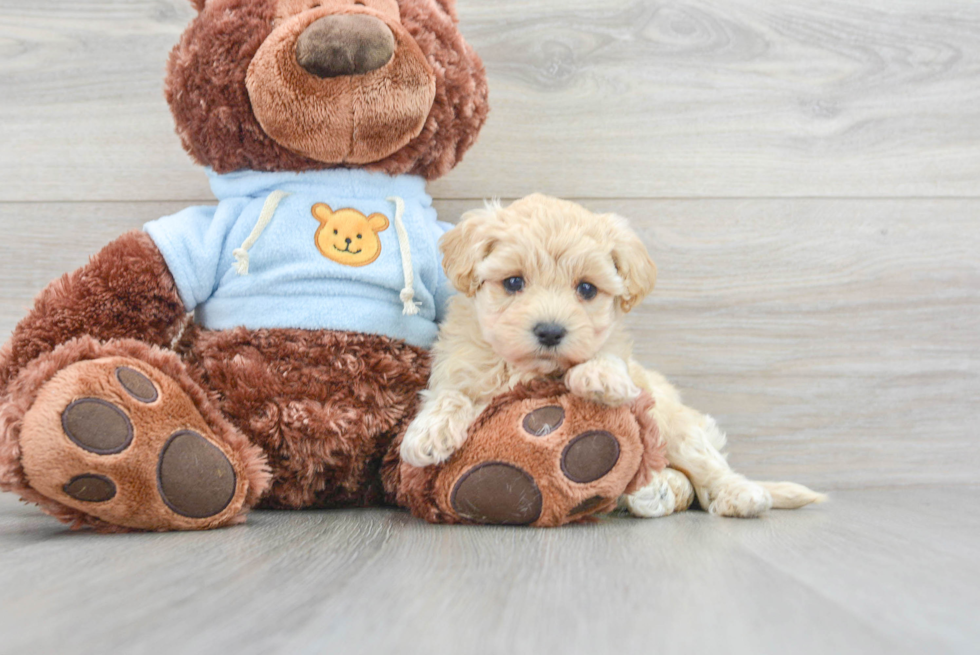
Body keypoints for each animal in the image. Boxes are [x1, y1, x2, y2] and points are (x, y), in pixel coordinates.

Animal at [402, 193, 824, 516]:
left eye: (587, 289)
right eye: (514, 282)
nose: (550, 331)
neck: (533, 370)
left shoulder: (623, 363)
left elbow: (609, 354)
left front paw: (600, 376)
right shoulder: (460, 365)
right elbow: (451, 394)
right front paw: (429, 432)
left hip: (675, 425)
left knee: (706, 467)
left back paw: (738, 494)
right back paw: (654, 491)